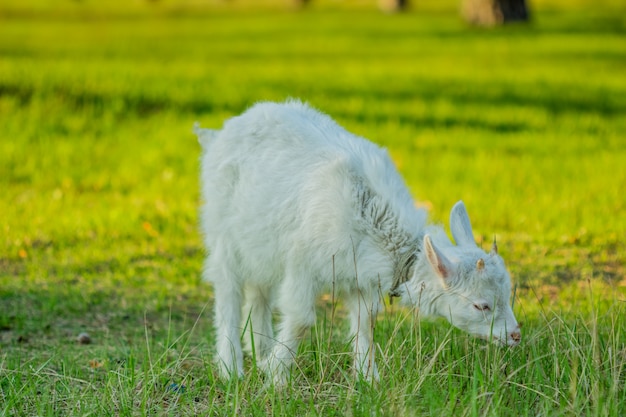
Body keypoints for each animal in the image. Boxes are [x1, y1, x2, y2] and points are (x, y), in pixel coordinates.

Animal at [194, 99, 516, 382]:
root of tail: (220, 133)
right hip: (223, 234)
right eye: (481, 306)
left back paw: (259, 353)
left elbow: (366, 323)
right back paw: (231, 369)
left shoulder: (362, 279)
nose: (515, 335)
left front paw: (368, 379)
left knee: (259, 293)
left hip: (260, 244)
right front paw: (277, 377)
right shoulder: (303, 265)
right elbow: (301, 319)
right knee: (228, 292)